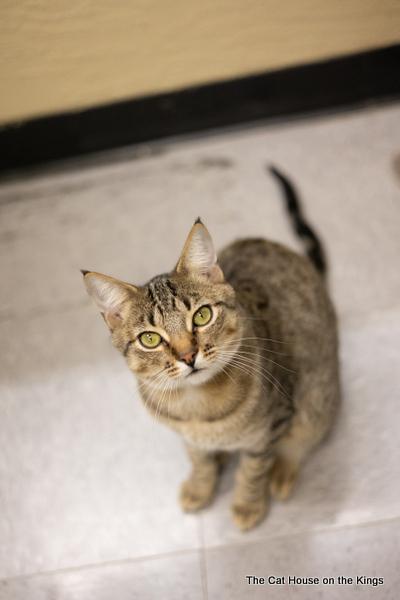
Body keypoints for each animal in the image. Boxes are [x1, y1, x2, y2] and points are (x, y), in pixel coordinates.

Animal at [83, 166, 340, 532]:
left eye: (202, 315)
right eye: (151, 338)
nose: (188, 356)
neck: (197, 409)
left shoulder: (272, 424)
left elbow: (253, 469)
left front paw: (248, 504)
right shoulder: (188, 437)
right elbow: (199, 459)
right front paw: (201, 485)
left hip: (317, 398)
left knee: (304, 436)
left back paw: (283, 471)